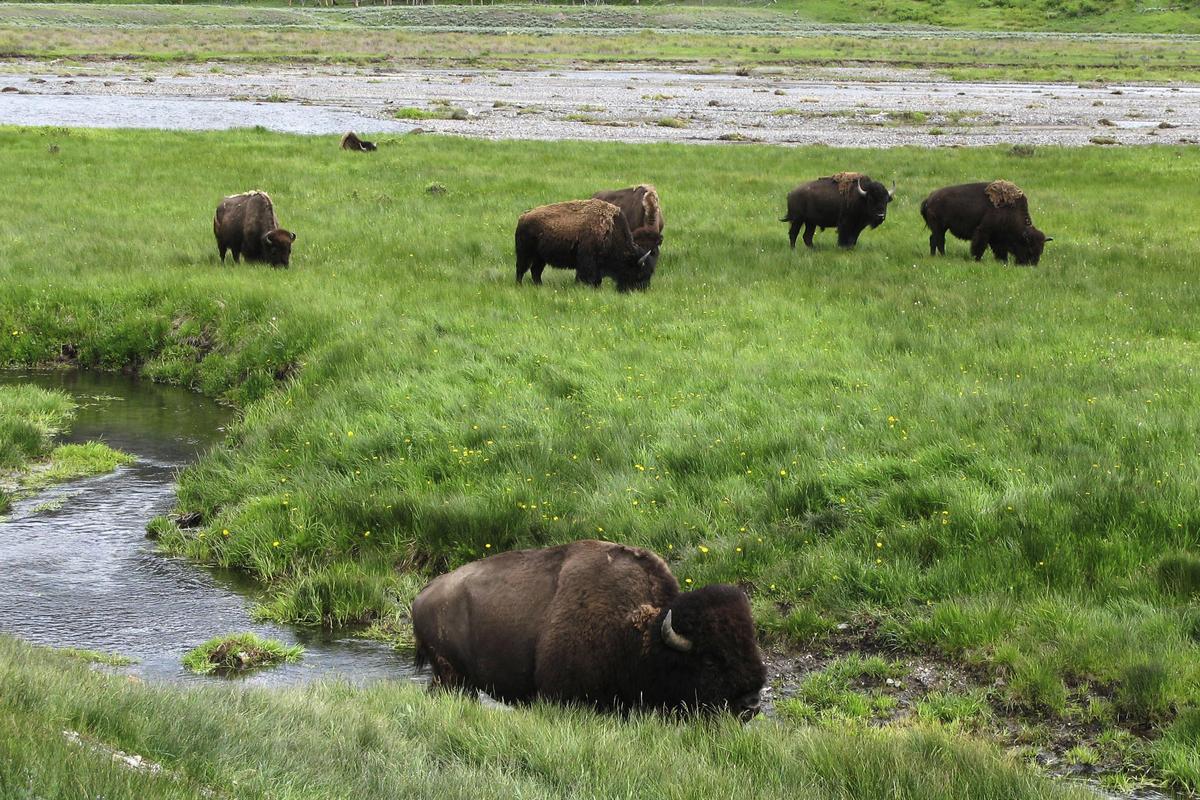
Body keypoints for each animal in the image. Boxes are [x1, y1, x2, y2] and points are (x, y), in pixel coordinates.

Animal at [412, 540, 766, 719]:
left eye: (750, 644)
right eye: (710, 660)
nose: (750, 704)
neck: (640, 634)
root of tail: (422, 595)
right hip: (452, 678)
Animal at [515, 199, 662, 291]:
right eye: (639, 274)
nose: (642, 290)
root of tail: (523, 217)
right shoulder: (588, 263)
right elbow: (589, 277)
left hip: (540, 258)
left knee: (535, 271)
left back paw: (539, 286)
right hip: (525, 254)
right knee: (521, 270)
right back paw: (519, 286)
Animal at [920, 180, 1051, 266]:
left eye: (1041, 250)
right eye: (1029, 248)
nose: (1031, 265)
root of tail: (929, 198)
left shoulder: (998, 238)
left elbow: (1000, 250)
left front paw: (1003, 261)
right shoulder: (983, 232)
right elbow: (979, 247)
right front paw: (977, 260)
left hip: (940, 228)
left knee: (935, 240)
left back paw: (935, 256)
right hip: (939, 228)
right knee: (938, 240)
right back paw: (941, 256)